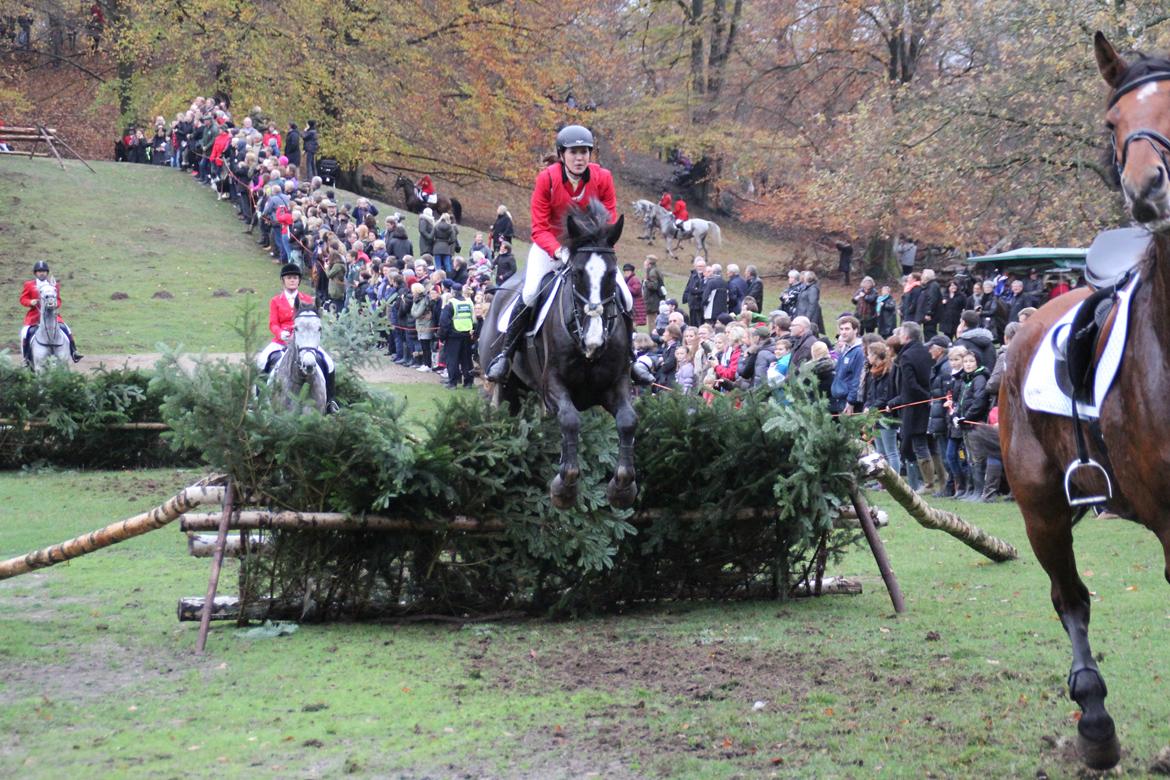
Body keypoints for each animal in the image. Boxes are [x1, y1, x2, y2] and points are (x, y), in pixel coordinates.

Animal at [477, 198, 636, 509]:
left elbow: (627, 422)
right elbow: (570, 420)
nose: (594, 340)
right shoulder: (552, 385)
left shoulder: (615, 384)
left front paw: (622, 488)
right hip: (505, 385)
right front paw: (565, 487)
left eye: (612, 275)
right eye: (576, 274)